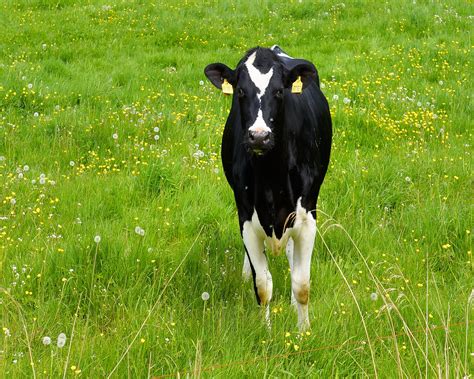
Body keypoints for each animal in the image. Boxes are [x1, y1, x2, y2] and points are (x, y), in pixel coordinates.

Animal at [205, 45, 334, 332]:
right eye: (241, 91)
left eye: (279, 91)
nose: (259, 136)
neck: (271, 178)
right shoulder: (246, 217)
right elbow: (262, 285)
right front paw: (266, 333)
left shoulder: (306, 218)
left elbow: (302, 285)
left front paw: (303, 331)